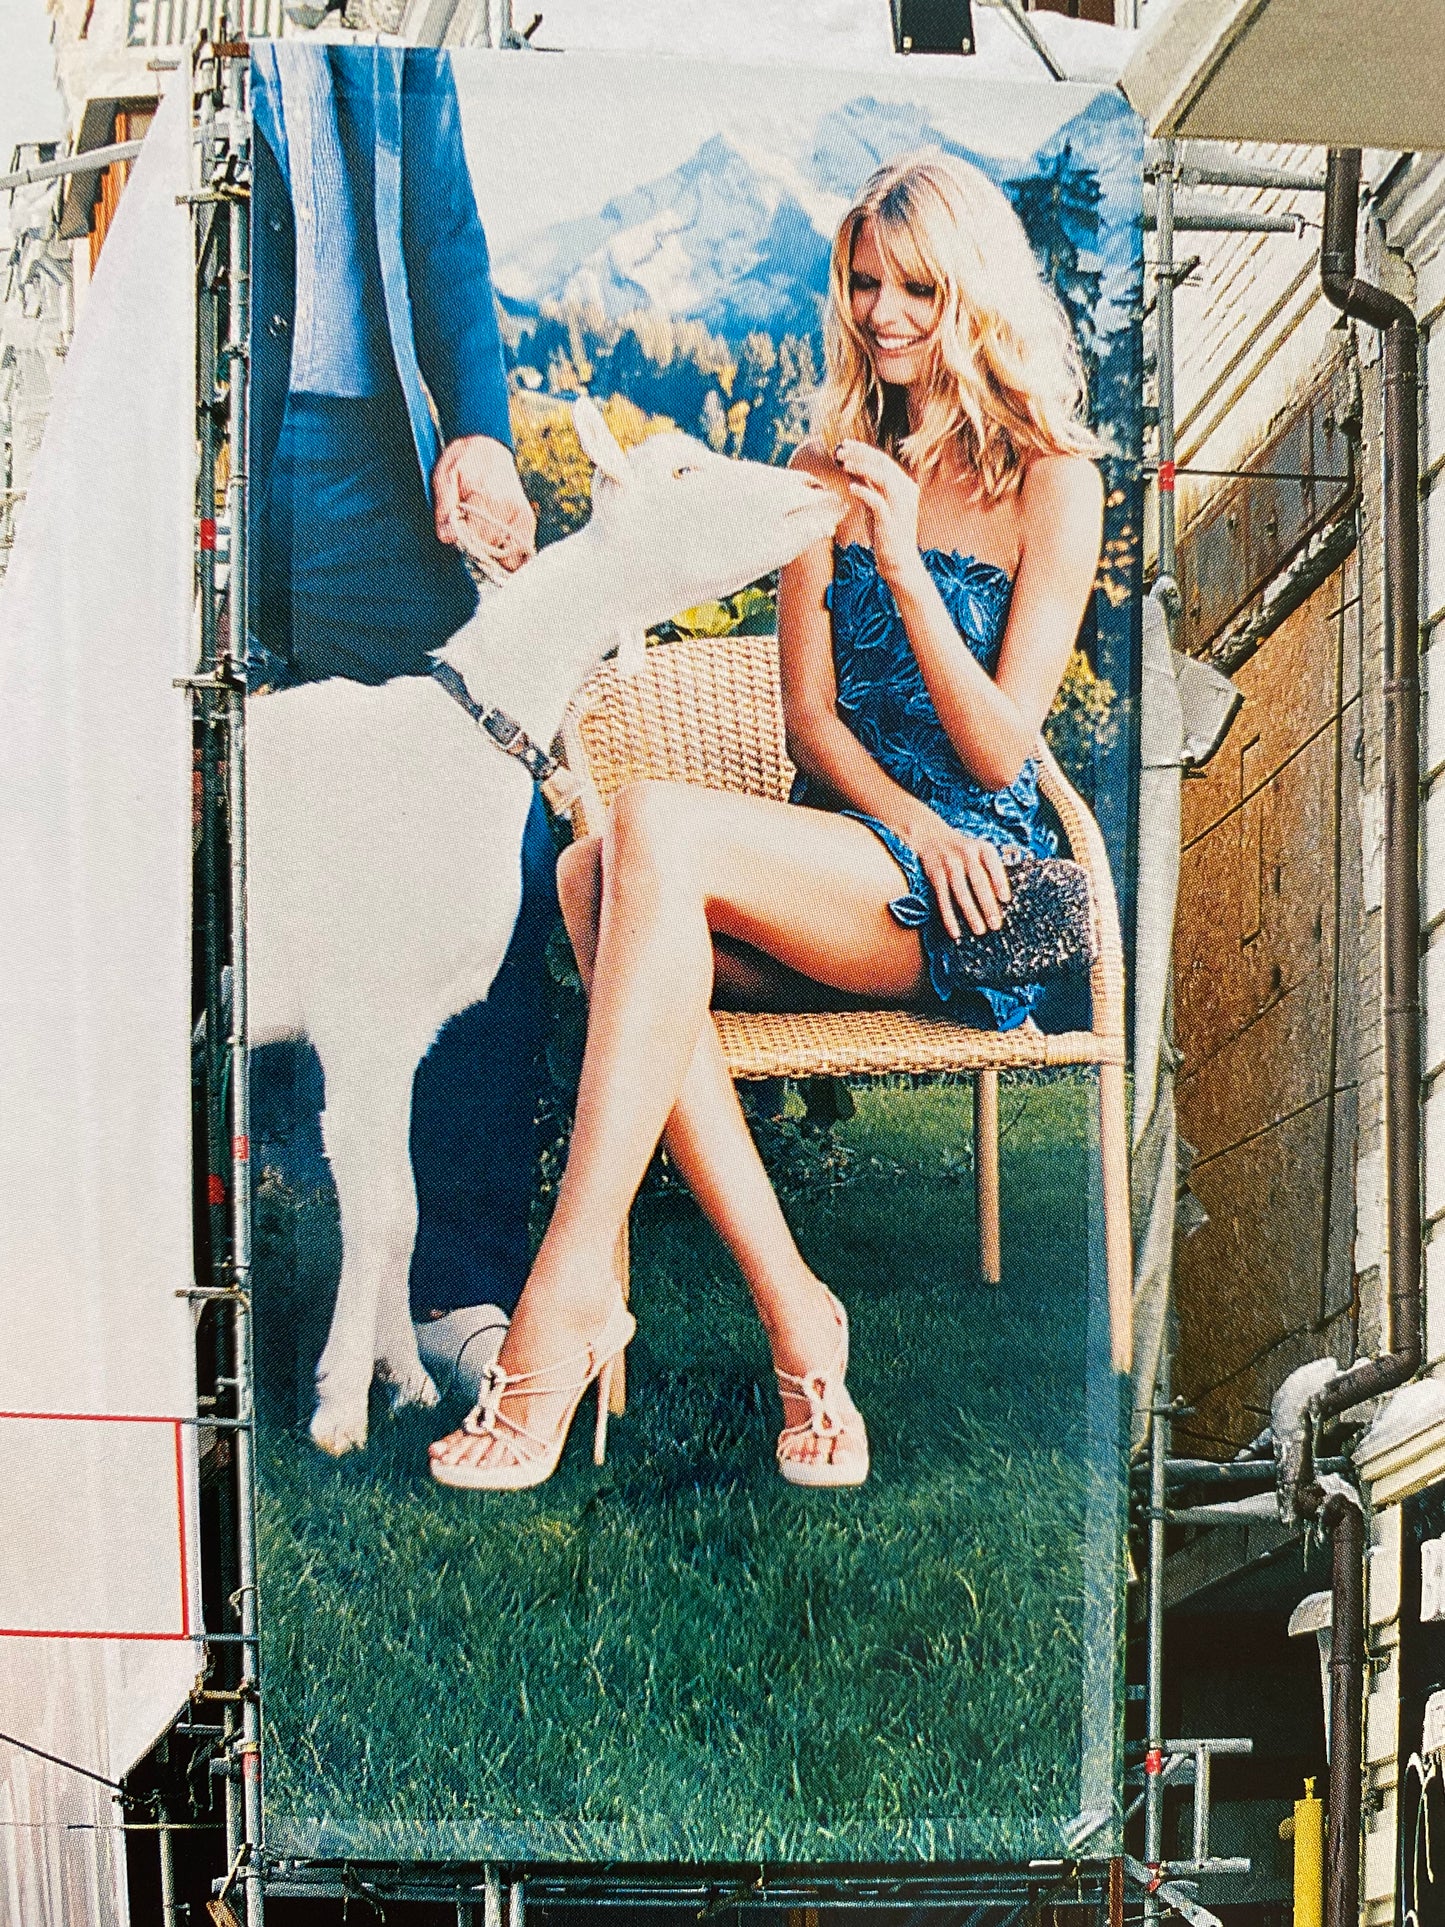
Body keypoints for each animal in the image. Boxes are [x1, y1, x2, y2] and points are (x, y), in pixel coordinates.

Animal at [247, 398, 843, 1454]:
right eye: (680, 472)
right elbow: (374, 1214)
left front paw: (405, 1381)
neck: (459, 737)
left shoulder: (409, 1036)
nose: (817, 487)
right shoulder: (362, 1026)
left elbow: (404, 1210)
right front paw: (338, 1410)